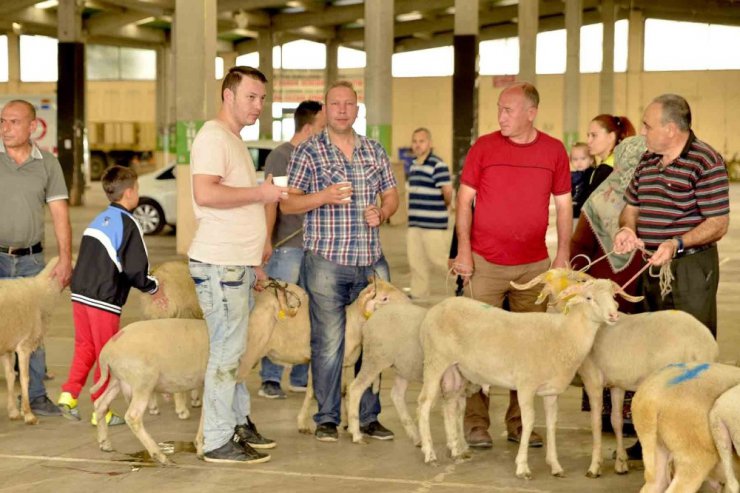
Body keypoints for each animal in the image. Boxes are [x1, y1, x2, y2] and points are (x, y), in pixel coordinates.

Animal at [0, 258, 63, 422]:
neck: (42, 293)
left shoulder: (8, 345)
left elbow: (10, 376)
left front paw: (13, 412)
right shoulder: (25, 345)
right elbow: (24, 378)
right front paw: (28, 414)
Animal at [416, 278, 632, 478]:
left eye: (613, 296)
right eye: (589, 298)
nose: (613, 315)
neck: (563, 334)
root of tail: (436, 308)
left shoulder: (551, 391)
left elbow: (552, 424)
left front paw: (555, 466)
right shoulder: (526, 386)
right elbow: (528, 422)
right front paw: (522, 467)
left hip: (455, 370)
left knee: (449, 404)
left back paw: (455, 451)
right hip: (435, 361)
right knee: (424, 403)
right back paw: (429, 453)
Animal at [516, 270, 716, 476]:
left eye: (612, 296)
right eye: (590, 297)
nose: (612, 315)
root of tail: (701, 343)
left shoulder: (593, 379)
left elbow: (596, 421)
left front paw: (595, 466)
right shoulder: (616, 384)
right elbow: (616, 420)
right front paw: (621, 463)